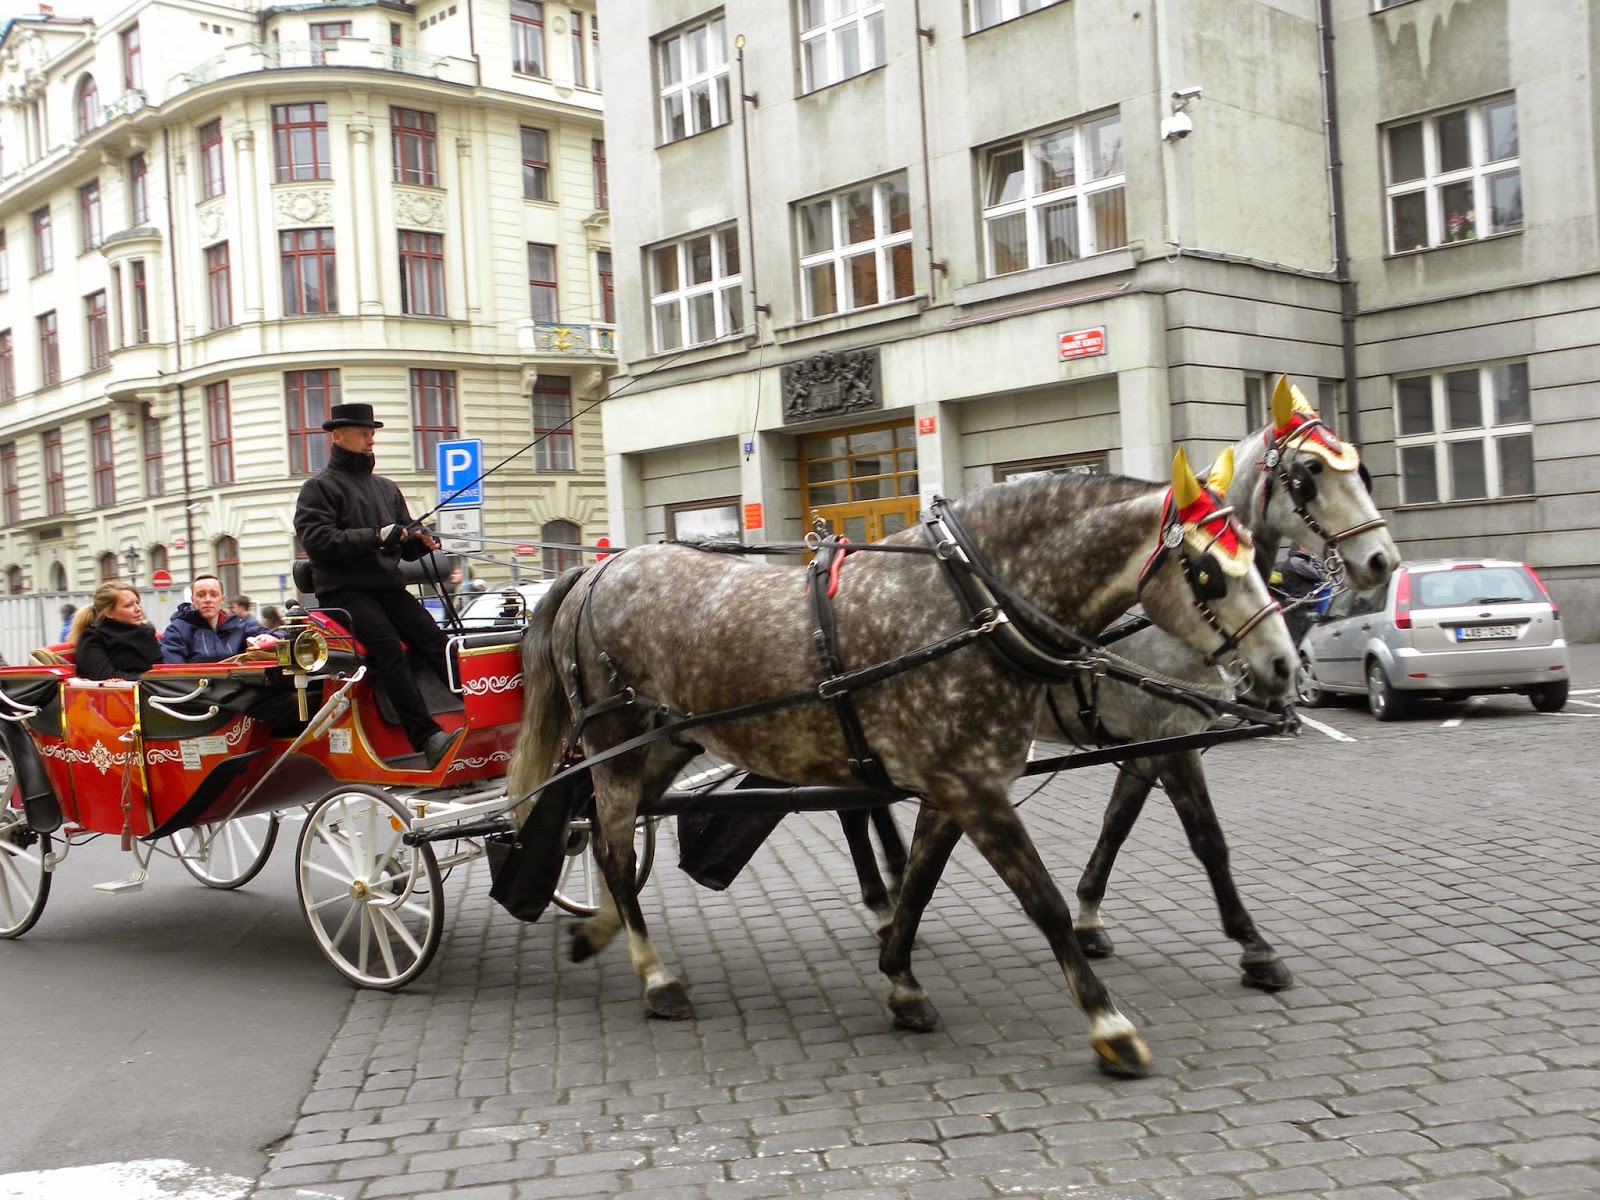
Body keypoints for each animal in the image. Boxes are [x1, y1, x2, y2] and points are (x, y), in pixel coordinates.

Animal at [507, 450, 1297, 1078]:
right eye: (1208, 571)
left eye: (1254, 555)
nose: (1284, 665)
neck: (969, 609)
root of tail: (599, 568)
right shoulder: (979, 786)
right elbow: (1043, 899)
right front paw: (1110, 1024)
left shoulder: (957, 784)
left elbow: (919, 880)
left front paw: (901, 978)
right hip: (615, 740)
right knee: (613, 847)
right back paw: (654, 976)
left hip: (667, 742)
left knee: (612, 831)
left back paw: (599, 928)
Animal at [868, 377, 1399, 1019]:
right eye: (1309, 472)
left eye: (1359, 467)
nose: (1382, 560)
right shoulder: (1171, 736)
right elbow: (1207, 840)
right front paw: (1254, 946)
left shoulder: (1147, 743)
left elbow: (1117, 824)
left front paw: (1089, 915)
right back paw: (886, 901)